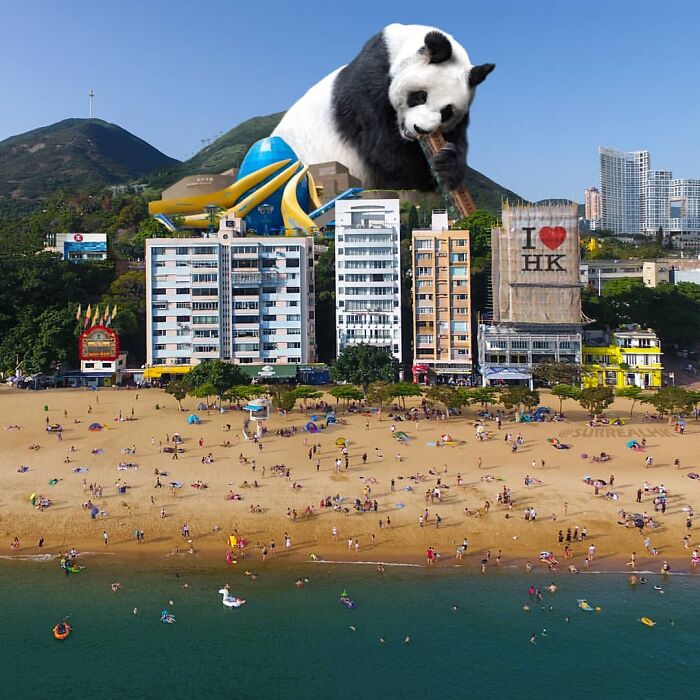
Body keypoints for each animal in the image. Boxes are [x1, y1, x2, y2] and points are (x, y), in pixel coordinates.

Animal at [272, 23, 494, 192]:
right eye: (420, 96)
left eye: (446, 112)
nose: (421, 129)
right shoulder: (367, 88)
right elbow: (383, 148)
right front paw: (419, 181)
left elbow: (457, 139)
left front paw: (447, 166)